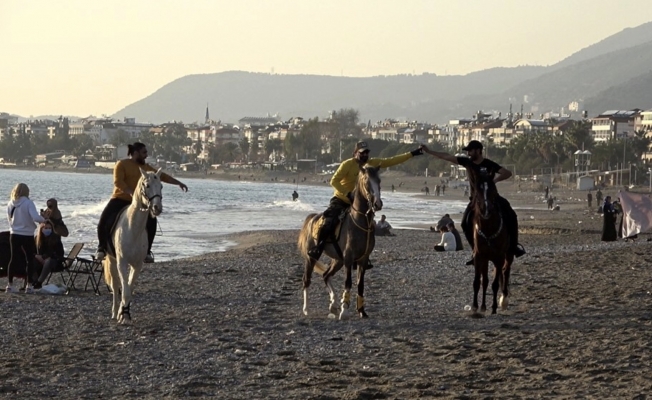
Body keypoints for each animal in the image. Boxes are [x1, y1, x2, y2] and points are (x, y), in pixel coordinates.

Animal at [103, 167, 163, 324]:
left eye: (161, 186)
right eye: (147, 185)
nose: (157, 208)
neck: (133, 228)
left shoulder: (137, 265)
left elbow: (129, 290)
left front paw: (125, 314)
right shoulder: (122, 262)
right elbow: (124, 290)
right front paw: (122, 315)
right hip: (112, 260)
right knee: (115, 285)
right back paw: (114, 312)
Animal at [300, 165, 384, 318]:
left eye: (379, 181)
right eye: (366, 182)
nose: (377, 204)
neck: (359, 221)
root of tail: (313, 218)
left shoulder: (363, 260)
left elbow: (360, 284)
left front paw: (361, 311)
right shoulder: (349, 259)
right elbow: (348, 282)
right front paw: (344, 310)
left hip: (338, 260)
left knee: (326, 275)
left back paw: (333, 305)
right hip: (312, 257)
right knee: (306, 279)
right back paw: (307, 309)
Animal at [468, 166, 516, 316]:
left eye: (493, 190)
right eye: (478, 190)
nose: (486, 210)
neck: (488, 228)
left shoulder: (499, 257)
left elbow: (495, 284)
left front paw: (494, 307)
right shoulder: (479, 256)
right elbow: (478, 282)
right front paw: (475, 306)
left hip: (508, 254)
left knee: (505, 271)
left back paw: (504, 299)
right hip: (486, 258)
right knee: (486, 280)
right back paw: (484, 306)